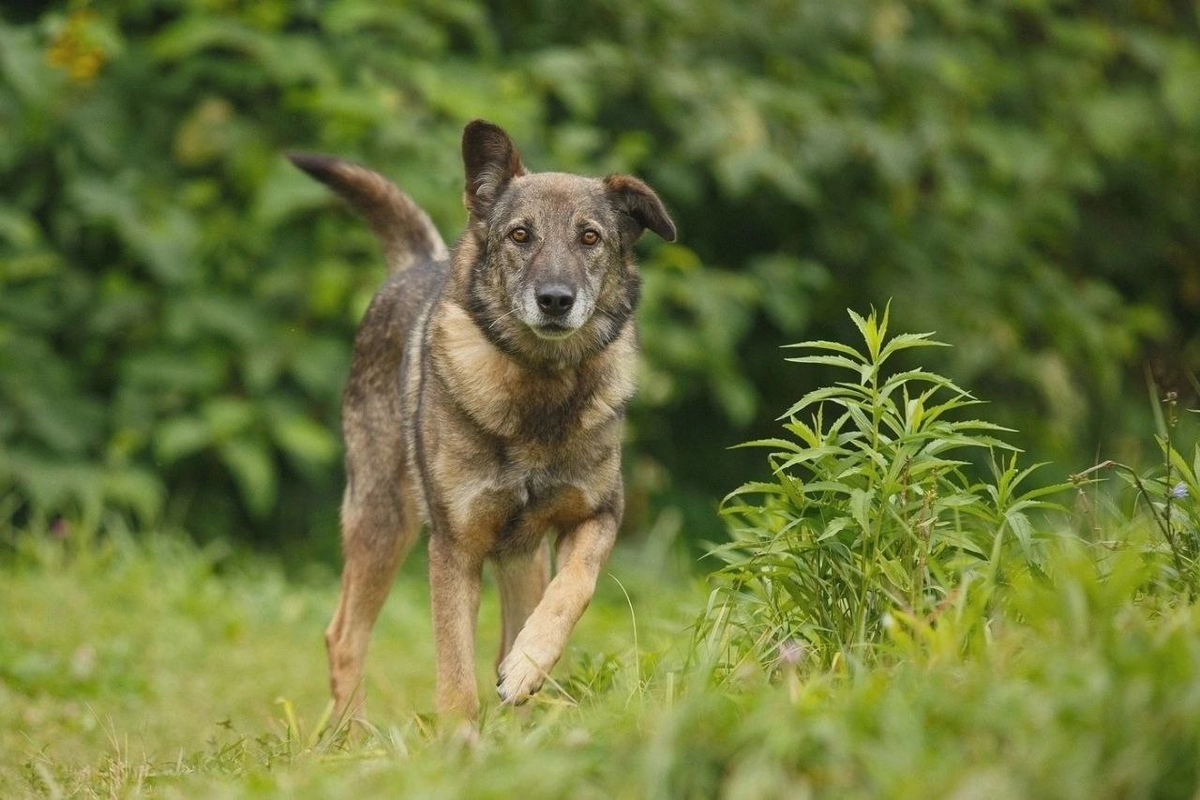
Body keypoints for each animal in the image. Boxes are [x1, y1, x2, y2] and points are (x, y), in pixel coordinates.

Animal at [284, 120, 672, 724]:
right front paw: (458, 742)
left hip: (520, 557)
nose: (555, 300)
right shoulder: (454, 548)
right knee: (344, 635)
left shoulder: (598, 514)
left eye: (590, 238)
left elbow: (572, 590)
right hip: (383, 520)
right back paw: (354, 736)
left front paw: (527, 667)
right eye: (519, 235)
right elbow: (456, 679)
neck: (539, 394)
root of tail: (419, 261)